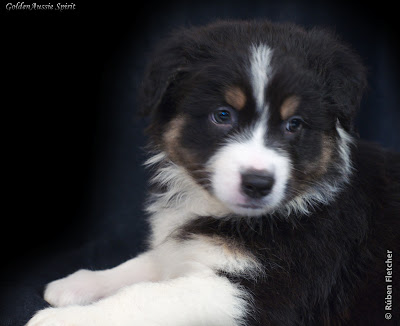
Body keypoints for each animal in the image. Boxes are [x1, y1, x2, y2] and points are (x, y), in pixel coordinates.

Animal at [26, 20, 398, 326]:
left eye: (294, 124)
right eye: (222, 115)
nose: (258, 184)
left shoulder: (258, 292)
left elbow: (146, 296)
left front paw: (63, 319)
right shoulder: (188, 253)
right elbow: (149, 262)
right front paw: (81, 282)